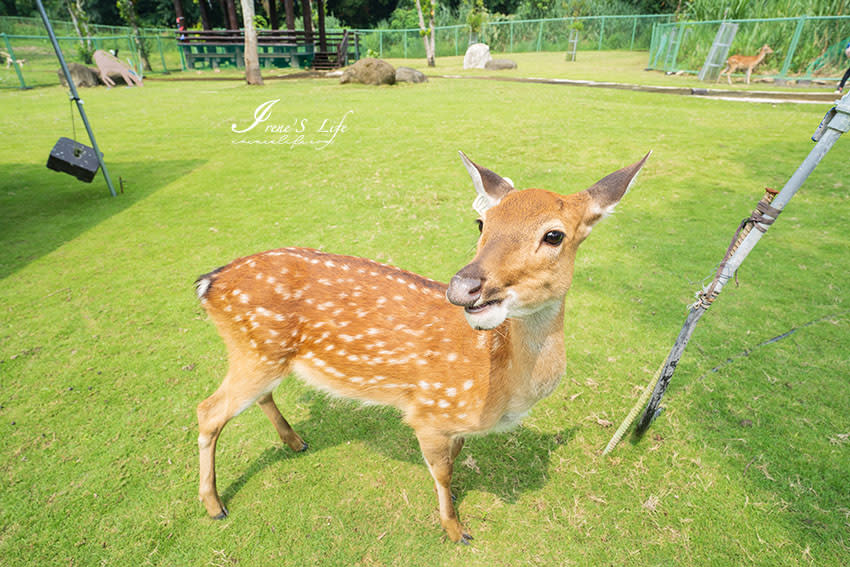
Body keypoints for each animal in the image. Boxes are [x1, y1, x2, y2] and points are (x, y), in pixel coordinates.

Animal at [195, 151, 648, 544]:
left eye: (554, 235)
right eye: (481, 222)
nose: (463, 287)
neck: (499, 386)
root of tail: (209, 282)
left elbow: (456, 455)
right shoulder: (428, 412)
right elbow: (442, 472)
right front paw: (455, 529)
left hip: (264, 356)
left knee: (256, 397)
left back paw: (294, 441)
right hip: (256, 350)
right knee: (208, 411)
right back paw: (214, 505)